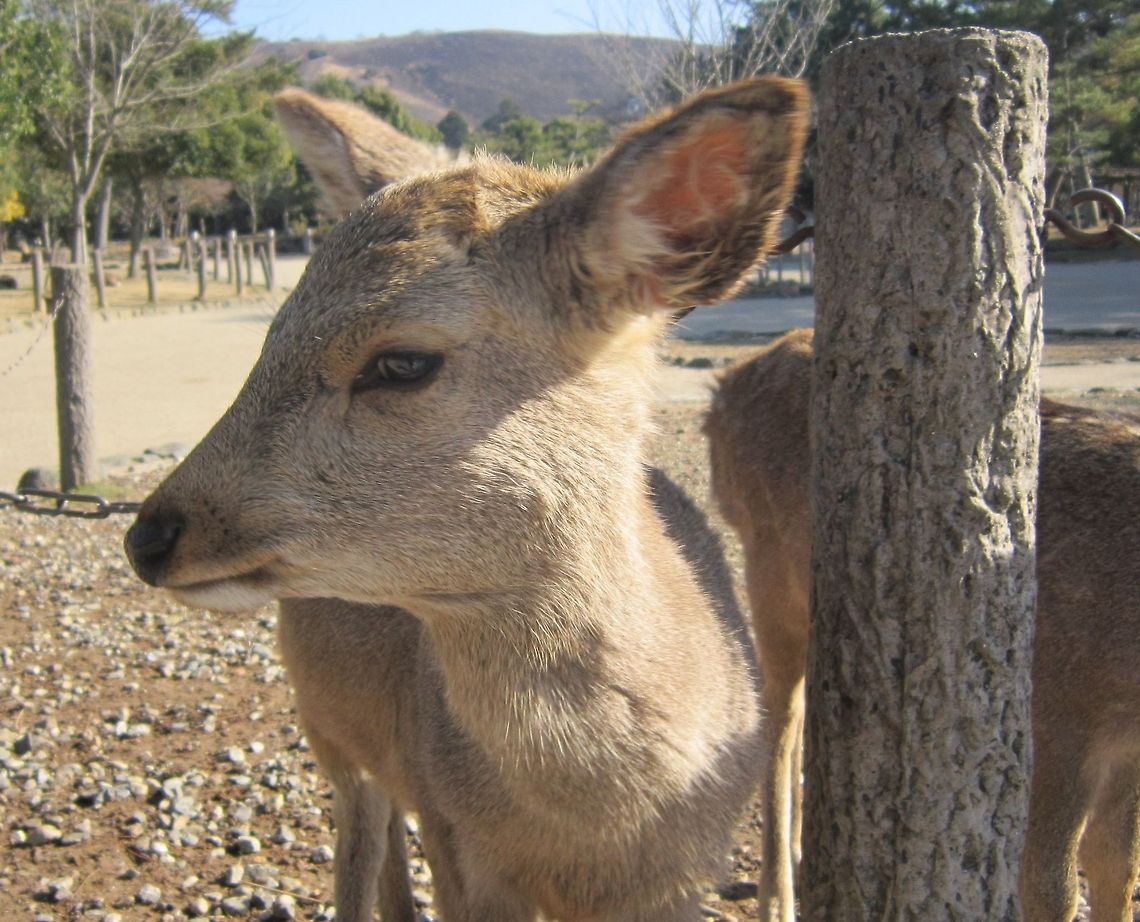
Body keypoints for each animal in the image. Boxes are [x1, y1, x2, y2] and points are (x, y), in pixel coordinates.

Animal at [123, 76, 810, 921]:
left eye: (402, 361)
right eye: (271, 333)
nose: (149, 536)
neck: (596, 828)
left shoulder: (682, 877)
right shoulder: (458, 843)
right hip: (324, 723)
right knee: (365, 832)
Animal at [704, 328, 1140, 922]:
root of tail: (721, 389)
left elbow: (1119, 864)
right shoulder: (1060, 710)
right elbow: (1054, 884)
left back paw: (797, 850)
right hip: (766, 566)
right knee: (778, 714)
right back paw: (777, 897)